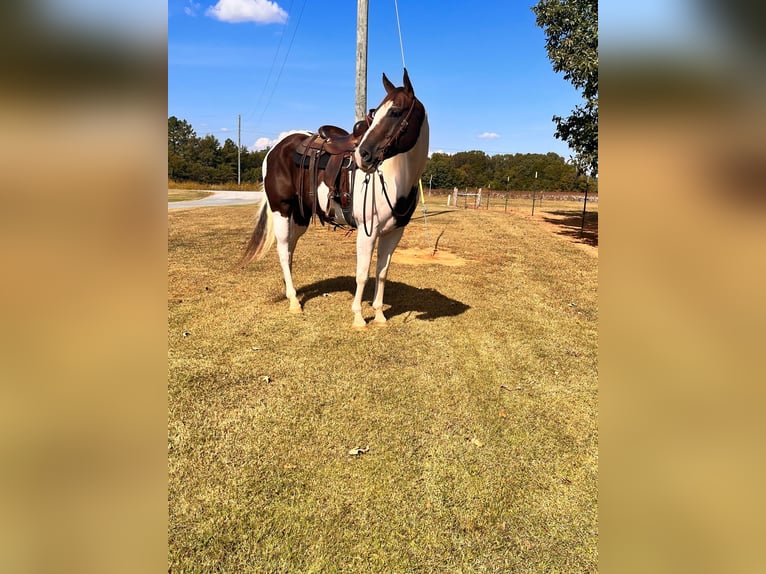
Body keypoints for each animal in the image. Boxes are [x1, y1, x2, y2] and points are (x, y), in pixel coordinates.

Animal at [242, 68, 428, 328]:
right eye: (375, 114)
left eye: (395, 112)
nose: (363, 155)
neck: (395, 178)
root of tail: (276, 148)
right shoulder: (367, 231)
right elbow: (362, 274)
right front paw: (359, 317)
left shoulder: (394, 232)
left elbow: (382, 272)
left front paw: (380, 315)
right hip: (282, 210)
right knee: (282, 248)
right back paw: (294, 302)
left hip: (300, 217)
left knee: (289, 250)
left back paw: (292, 291)